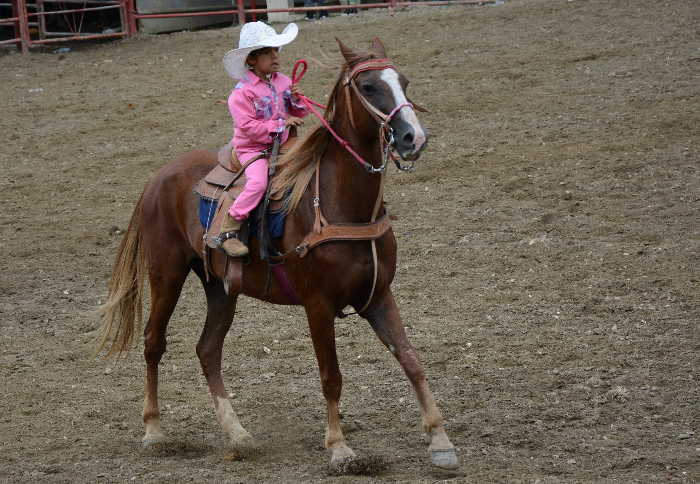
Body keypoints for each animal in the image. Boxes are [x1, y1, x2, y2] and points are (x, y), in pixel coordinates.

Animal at [98, 37, 460, 472]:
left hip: (220, 287)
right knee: (154, 342)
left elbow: (411, 360)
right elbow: (331, 376)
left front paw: (440, 440)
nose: (412, 137)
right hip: (165, 273)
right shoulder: (318, 305)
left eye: (403, 81)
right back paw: (153, 430)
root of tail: (158, 177)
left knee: (208, 350)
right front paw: (339, 447)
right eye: (369, 86)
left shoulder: (378, 295)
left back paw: (238, 434)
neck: (339, 204)